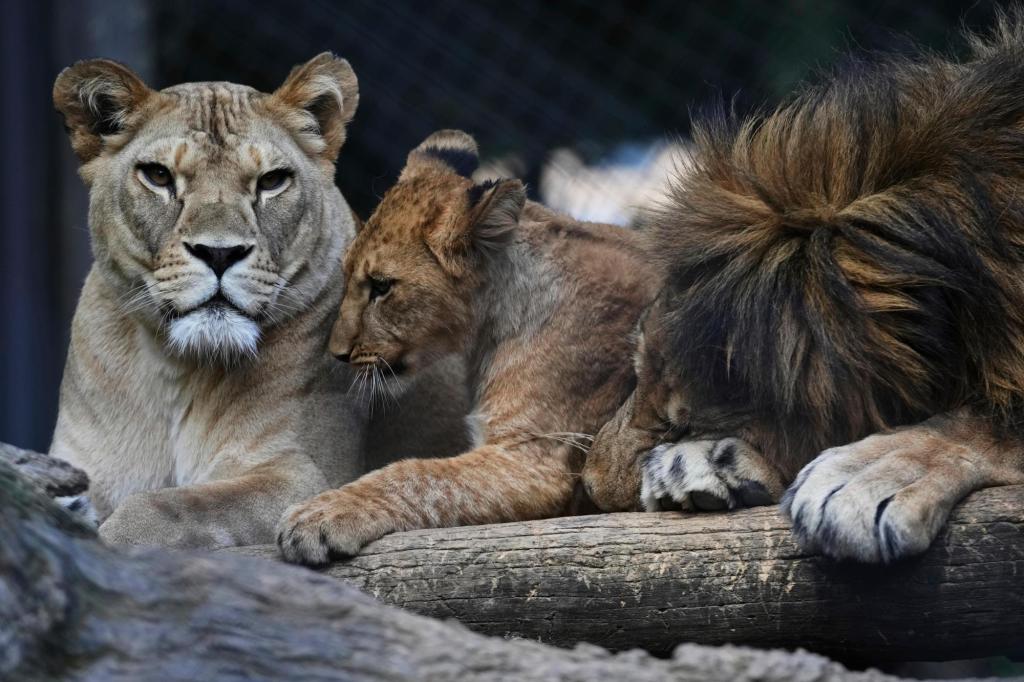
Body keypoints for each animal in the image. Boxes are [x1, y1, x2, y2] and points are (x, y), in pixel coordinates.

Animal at [50, 55, 468, 548]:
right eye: (158, 176)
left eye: (272, 181)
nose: (219, 253)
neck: (176, 369)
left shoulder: (305, 477)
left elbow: (175, 505)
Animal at [275, 130, 658, 564]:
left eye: (381, 286)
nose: (337, 353)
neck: (489, 325)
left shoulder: (534, 461)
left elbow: (416, 474)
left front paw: (320, 514)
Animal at [582, 13, 1024, 563]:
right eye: (637, 371)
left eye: (679, 423)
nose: (588, 485)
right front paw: (705, 466)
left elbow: (987, 423)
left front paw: (867, 476)